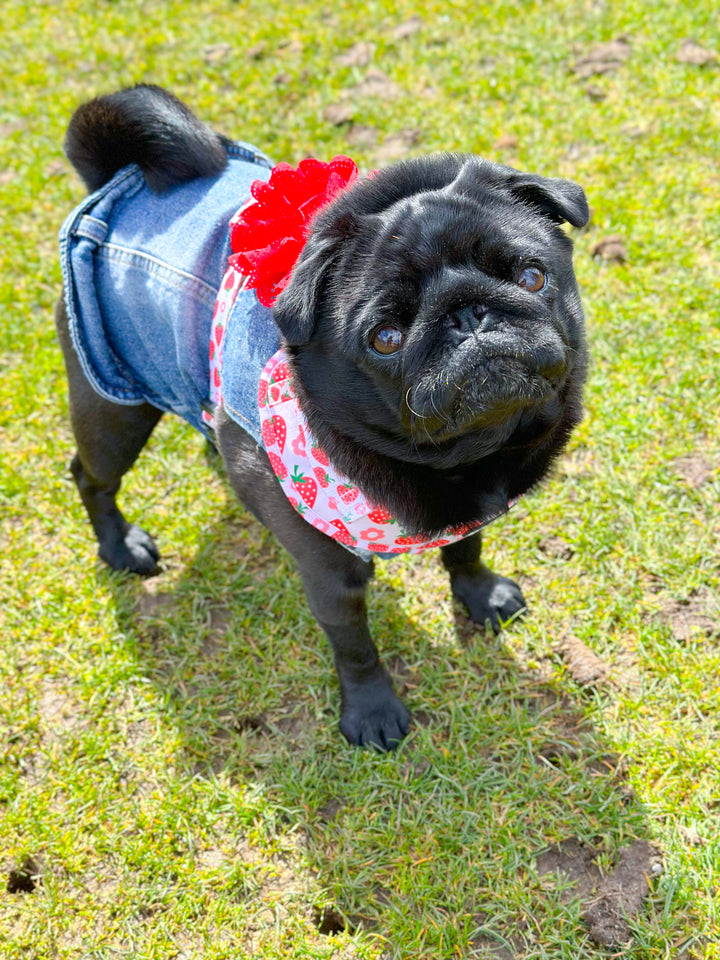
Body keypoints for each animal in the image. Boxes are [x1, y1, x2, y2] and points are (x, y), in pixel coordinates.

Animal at [54, 84, 584, 752]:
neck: (467, 456)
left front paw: (479, 594)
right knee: (91, 475)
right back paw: (120, 546)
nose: (467, 315)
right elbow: (354, 646)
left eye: (531, 276)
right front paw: (372, 712)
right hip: (115, 405)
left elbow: (465, 549)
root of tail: (120, 179)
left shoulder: (464, 512)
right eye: (385, 338)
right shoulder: (329, 573)